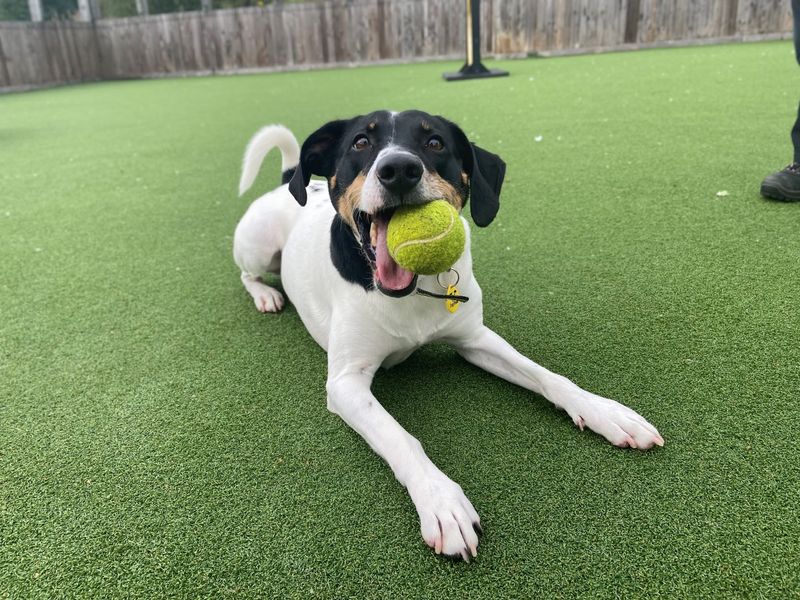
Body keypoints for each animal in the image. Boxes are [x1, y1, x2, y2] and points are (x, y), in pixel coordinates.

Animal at [231, 111, 664, 564]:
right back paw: (266, 295)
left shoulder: (476, 340)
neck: (414, 293)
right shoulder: (346, 382)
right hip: (257, 246)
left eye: (435, 142)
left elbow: (548, 376)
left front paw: (603, 411)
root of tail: (288, 182)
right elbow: (400, 437)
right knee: (246, 273)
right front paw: (441, 502)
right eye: (360, 142)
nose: (399, 169)